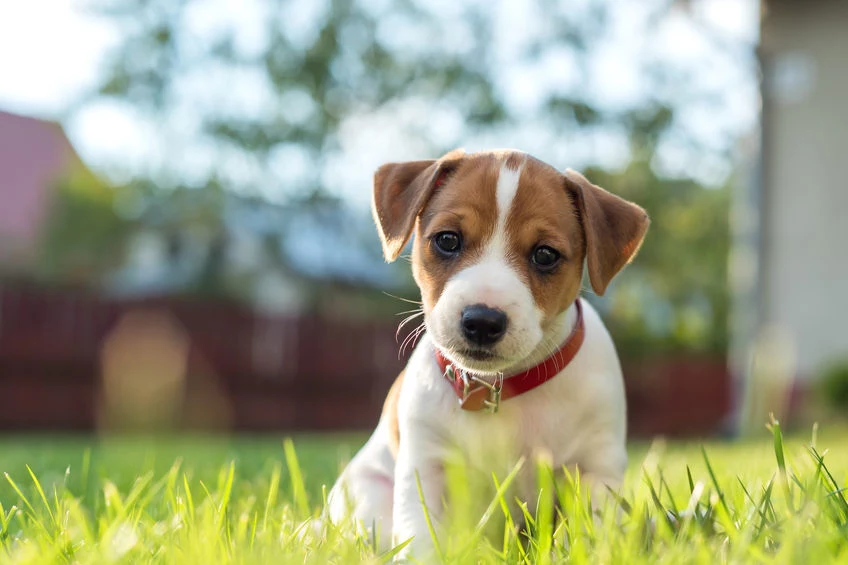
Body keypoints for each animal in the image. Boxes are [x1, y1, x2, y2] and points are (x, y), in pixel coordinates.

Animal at [326, 148, 648, 556]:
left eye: (545, 255)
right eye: (448, 240)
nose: (482, 321)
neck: (498, 387)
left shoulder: (596, 469)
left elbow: (587, 536)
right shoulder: (425, 467)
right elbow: (421, 542)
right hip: (367, 498)